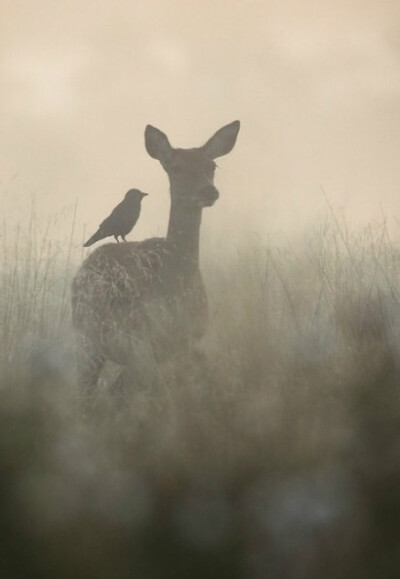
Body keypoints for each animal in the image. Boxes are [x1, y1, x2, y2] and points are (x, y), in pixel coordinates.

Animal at [71, 120, 241, 406]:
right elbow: (162, 396)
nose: (208, 191)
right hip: (93, 340)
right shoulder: (140, 342)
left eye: (212, 166)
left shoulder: (185, 341)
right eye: (176, 167)